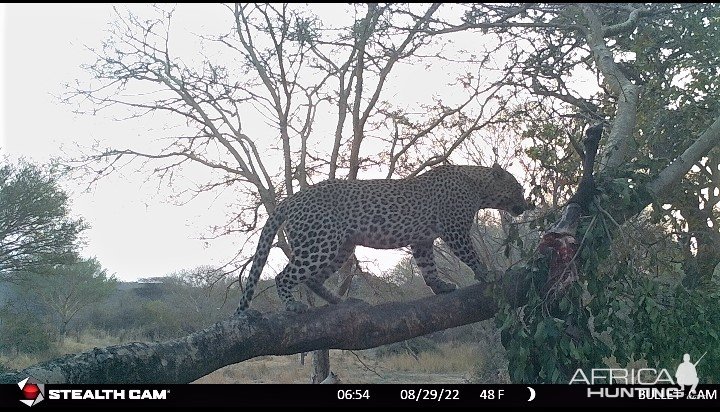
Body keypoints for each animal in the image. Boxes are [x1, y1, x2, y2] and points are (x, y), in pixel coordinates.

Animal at [236, 163, 528, 314]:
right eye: (519, 188)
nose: (527, 205)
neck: (478, 187)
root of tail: (291, 199)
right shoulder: (454, 229)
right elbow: (470, 255)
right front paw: (488, 273)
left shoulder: (422, 241)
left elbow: (428, 267)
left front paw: (440, 286)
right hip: (321, 243)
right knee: (284, 276)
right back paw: (292, 305)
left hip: (341, 247)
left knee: (313, 279)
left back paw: (341, 301)